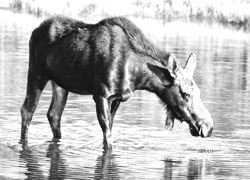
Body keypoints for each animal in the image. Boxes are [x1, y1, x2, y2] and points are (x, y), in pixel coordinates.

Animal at [20, 16, 214, 148]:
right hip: (37, 73)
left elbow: (110, 131)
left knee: (54, 114)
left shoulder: (118, 98)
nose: (209, 127)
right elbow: (108, 138)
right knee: (27, 110)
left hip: (61, 83)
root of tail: (34, 31)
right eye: (186, 94)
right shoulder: (102, 94)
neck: (139, 76)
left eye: (199, 92)